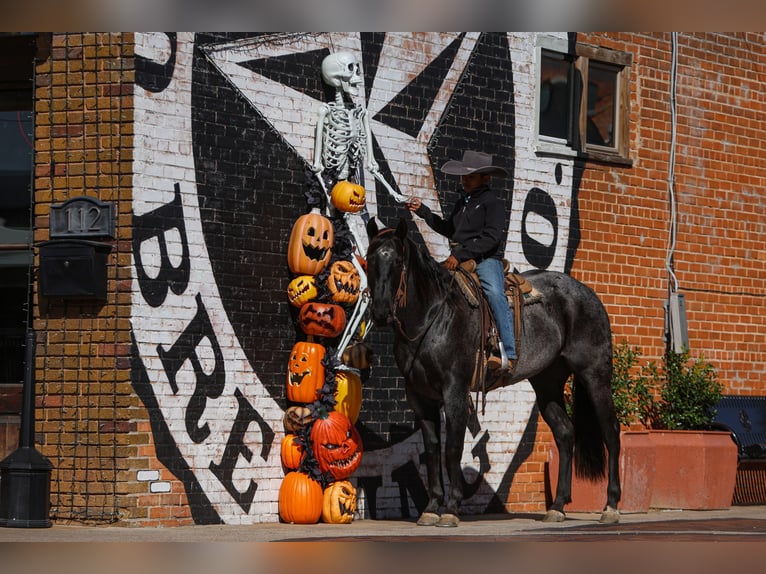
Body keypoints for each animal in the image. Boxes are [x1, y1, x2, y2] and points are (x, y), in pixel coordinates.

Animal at [368, 218, 624, 528]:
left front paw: (451, 508)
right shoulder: (419, 396)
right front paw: (431, 508)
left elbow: (452, 449)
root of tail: (588, 294)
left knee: (611, 432)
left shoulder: (455, 391)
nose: (380, 312)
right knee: (565, 433)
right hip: (548, 383)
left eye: (396, 261)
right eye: (369, 259)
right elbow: (431, 450)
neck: (433, 317)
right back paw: (558, 506)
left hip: (595, 375)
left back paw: (611, 506)